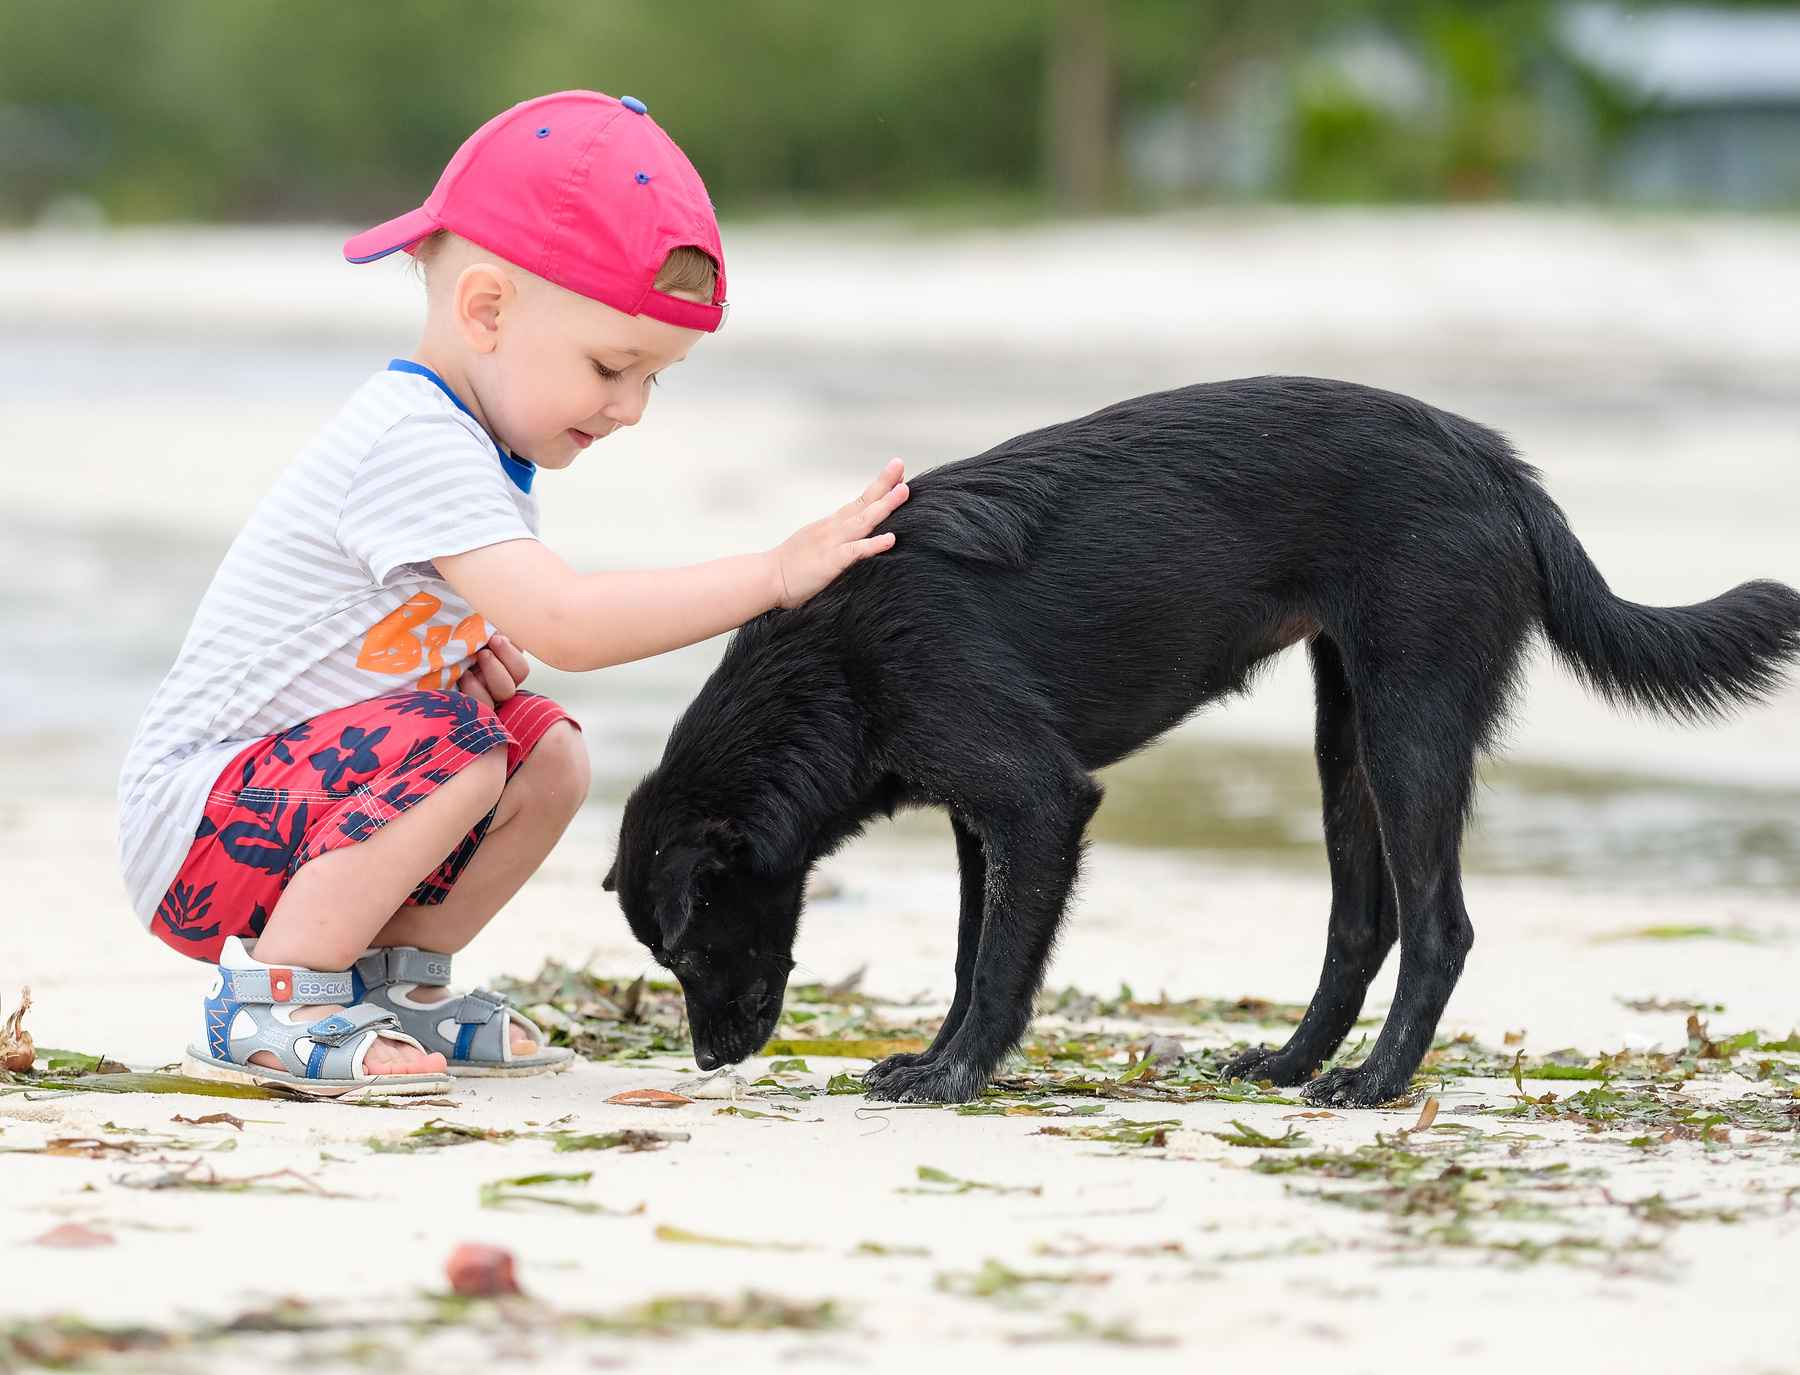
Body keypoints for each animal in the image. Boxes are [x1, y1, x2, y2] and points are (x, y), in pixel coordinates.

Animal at [606, 376, 1800, 1106]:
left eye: (690, 952)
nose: (707, 1061)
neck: (832, 663)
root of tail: (1497, 462)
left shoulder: (1035, 800)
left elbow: (994, 965)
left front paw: (956, 1077)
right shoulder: (981, 822)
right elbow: (967, 954)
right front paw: (936, 1059)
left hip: (1412, 723)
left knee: (1438, 927)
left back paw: (1374, 1083)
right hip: (1346, 735)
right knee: (1361, 922)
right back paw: (1292, 1060)